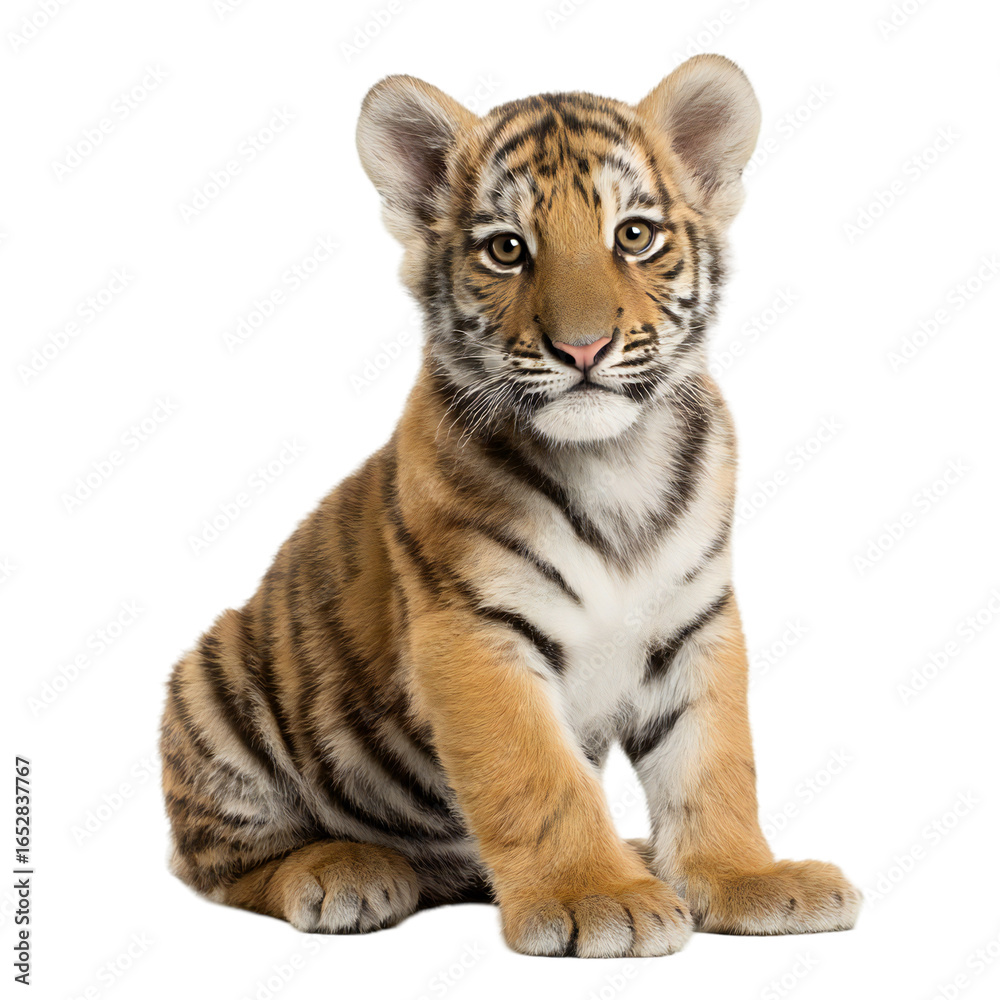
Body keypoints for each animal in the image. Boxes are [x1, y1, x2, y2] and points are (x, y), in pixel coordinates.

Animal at [159, 54, 861, 958]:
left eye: (634, 235)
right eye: (506, 249)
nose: (584, 348)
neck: (614, 459)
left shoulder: (697, 623)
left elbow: (714, 764)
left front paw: (747, 879)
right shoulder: (473, 632)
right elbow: (536, 774)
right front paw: (597, 898)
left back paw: (641, 855)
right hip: (212, 681)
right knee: (220, 865)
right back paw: (345, 872)